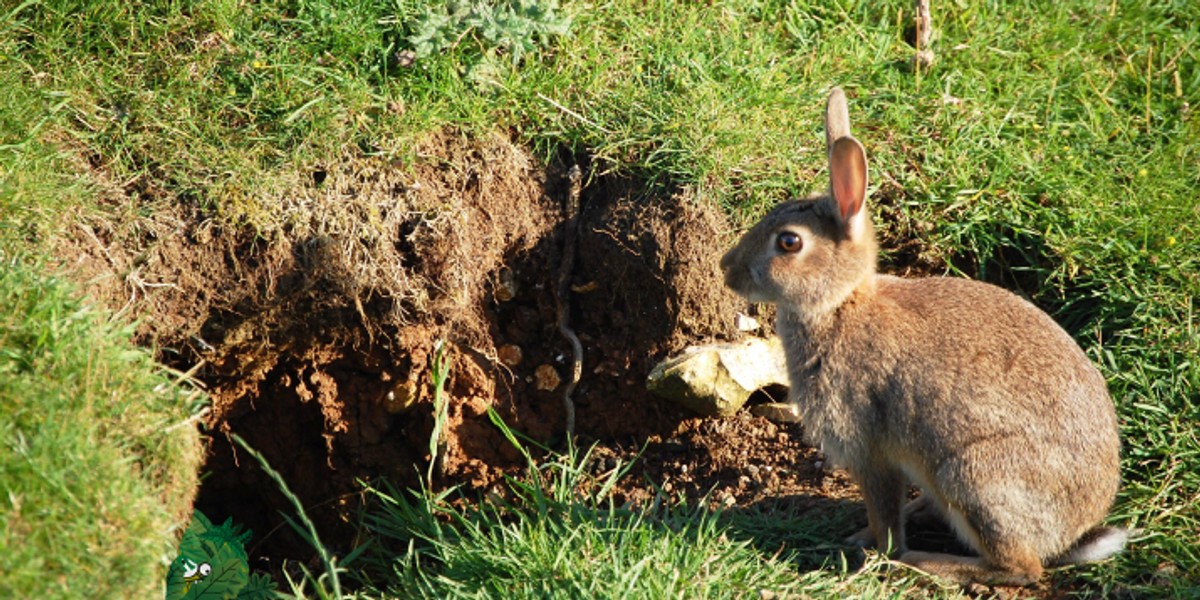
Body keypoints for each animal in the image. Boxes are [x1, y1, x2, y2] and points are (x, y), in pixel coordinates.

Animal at [720, 88, 1123, 585]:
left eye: (789, 243)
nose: (727, 268)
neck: (840, 305)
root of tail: (1074, 531)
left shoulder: (868, 448)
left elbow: (883, 514)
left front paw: (878, 552)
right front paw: (861, 540)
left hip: (973, 476)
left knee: (1020, 568)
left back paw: (922, 562)